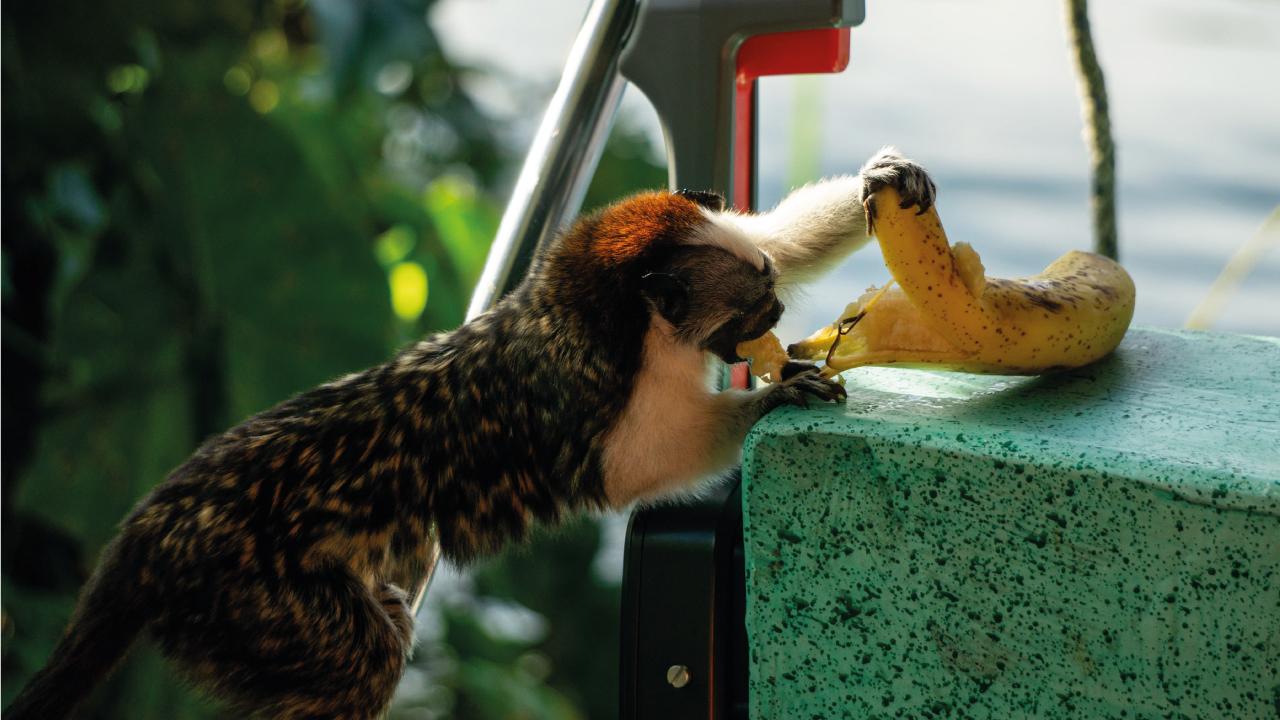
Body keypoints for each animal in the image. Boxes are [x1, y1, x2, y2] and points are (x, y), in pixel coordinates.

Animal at [6, 147, 934, 719]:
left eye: (772, 288)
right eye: (750, 308)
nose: (775, 314)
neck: (620, 320)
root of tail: (150, 530)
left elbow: (780, 230)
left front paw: (880, 182)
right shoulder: (592, 392)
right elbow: (636, 466)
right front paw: (771, 401)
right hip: (241, 591)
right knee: (359, 661)